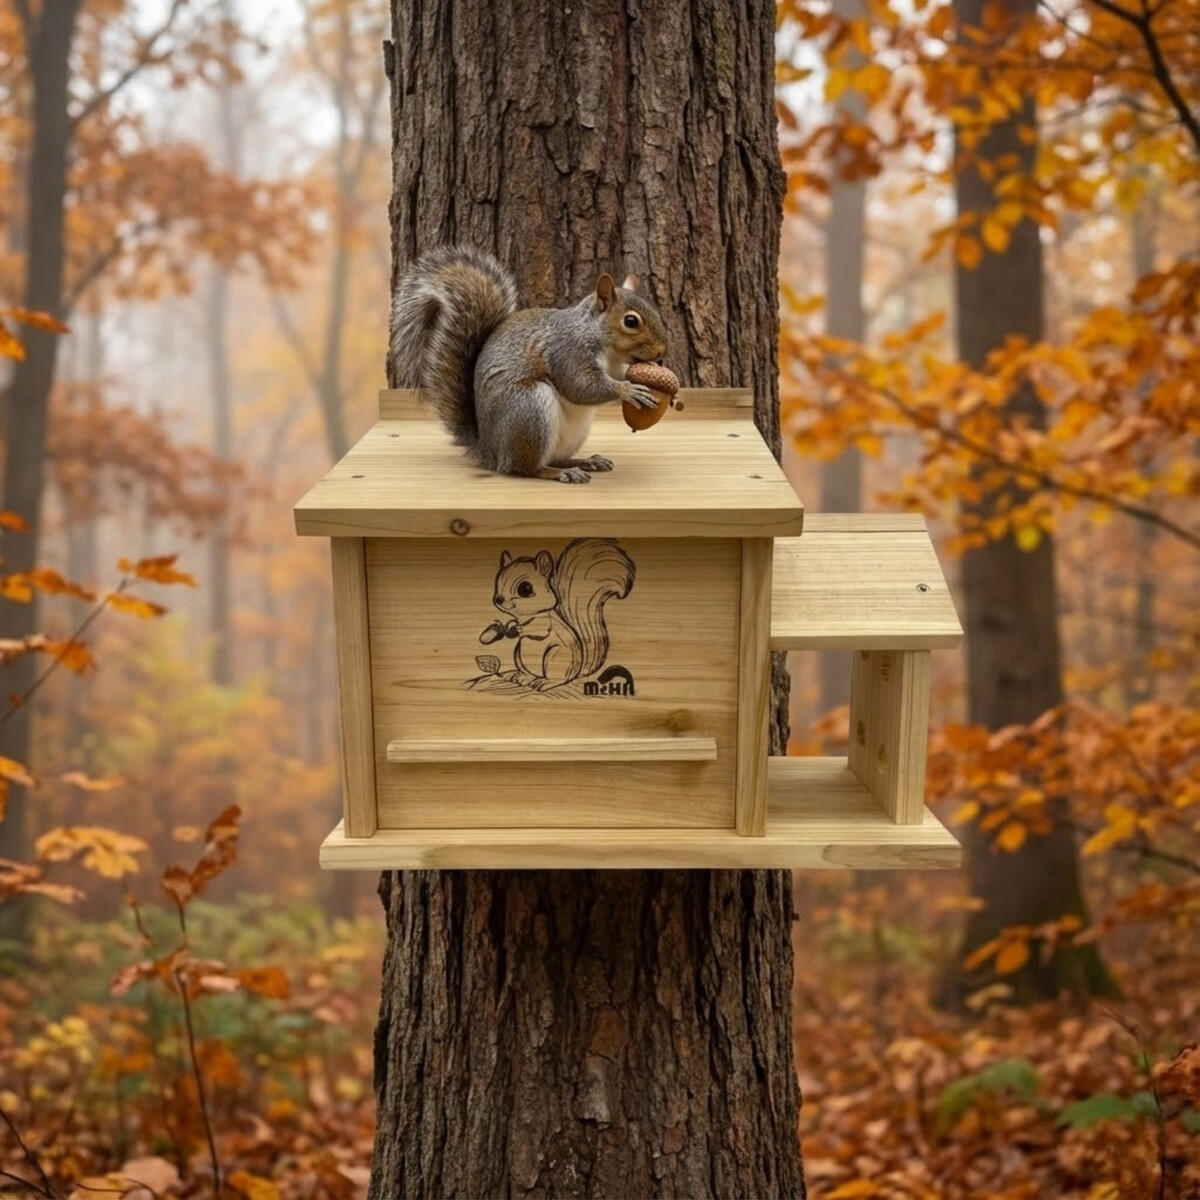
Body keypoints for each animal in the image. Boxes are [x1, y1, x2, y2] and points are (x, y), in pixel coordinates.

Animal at [389, 245, 668, 483]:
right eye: (630, 321)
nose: (661, 352)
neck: (606, 347)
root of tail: (489, 451)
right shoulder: (567, 351)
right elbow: (581, 386)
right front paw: (628, 390)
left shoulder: (611, 365)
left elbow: (615, 374)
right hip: (529, 409)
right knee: (523, 468)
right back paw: (558, 473)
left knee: (557, 458)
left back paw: (585, 462)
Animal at [478, 538, 636, 688]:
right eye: (498, 581)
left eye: (525, 588)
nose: (498, 599)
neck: (527, 616)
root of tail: (576, 672)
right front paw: (510, 626)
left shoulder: (546, 621)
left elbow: (541, 631)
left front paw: (521, 629)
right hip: (518, 655)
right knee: (530, 674)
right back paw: (521, 676)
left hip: (554, 657)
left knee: (558, 679)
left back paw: (544, 683)